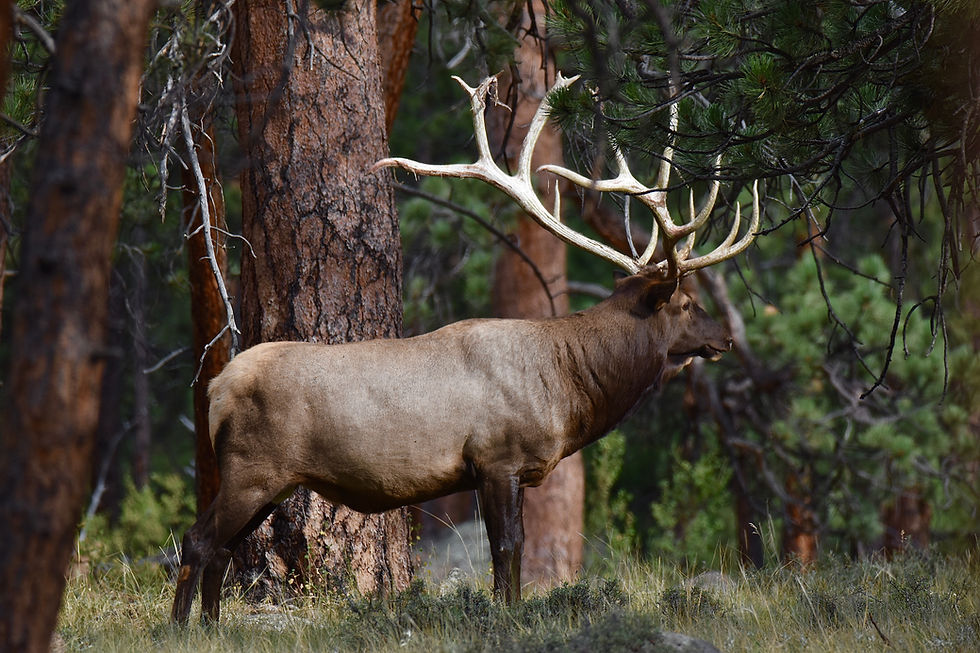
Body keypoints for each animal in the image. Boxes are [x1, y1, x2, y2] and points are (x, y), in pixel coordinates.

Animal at [171, 73, 760, 625]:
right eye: (686, 303)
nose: (726, 338)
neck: (567, 386)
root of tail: (217, 386)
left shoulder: (495, 470)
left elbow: (509, 552)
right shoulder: (498, 456)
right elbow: (508, 549)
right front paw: (509, 615)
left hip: (268, 480)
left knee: (221, 550)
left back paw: (212, 626)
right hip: (253, 466)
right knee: (198, 541)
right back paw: (181, 628)